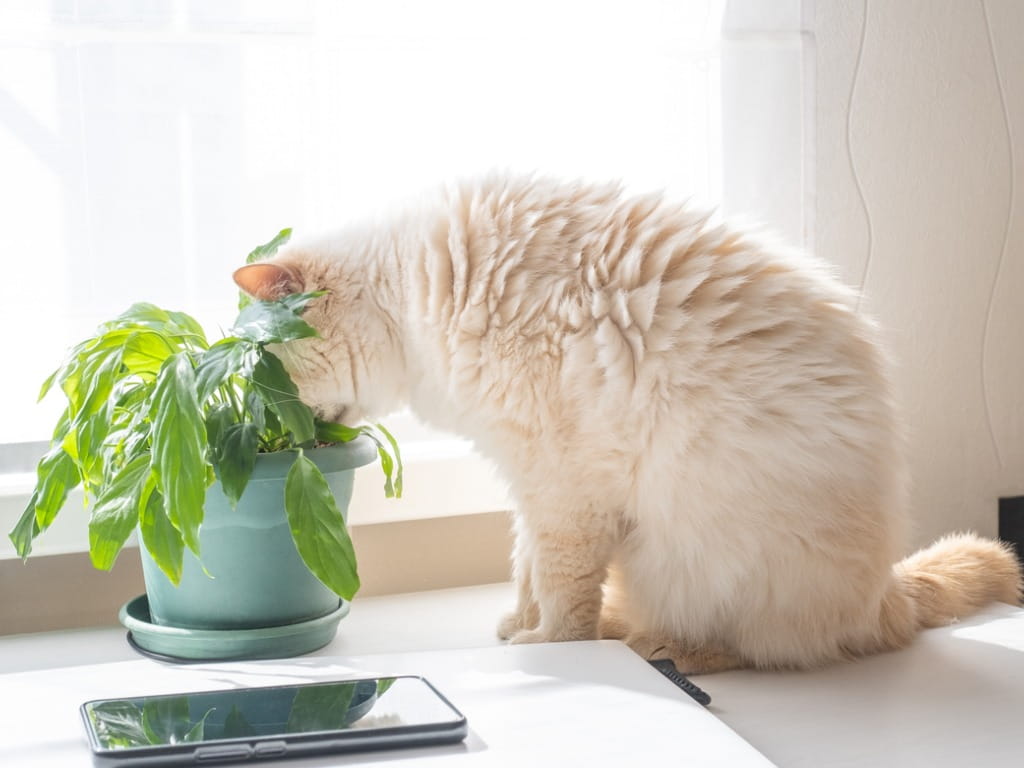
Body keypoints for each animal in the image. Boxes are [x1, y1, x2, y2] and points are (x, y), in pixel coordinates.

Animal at [234, 174, 1024, 671]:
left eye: (264, 370)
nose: (285, 434)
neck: (413, 291)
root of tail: (883, 590)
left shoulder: (563, 491)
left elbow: (561, 594)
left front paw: (550, 648)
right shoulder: (528, 483)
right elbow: (527, 570)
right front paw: (520, 628)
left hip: (693, 558)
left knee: (763, 647)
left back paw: (659, 650)